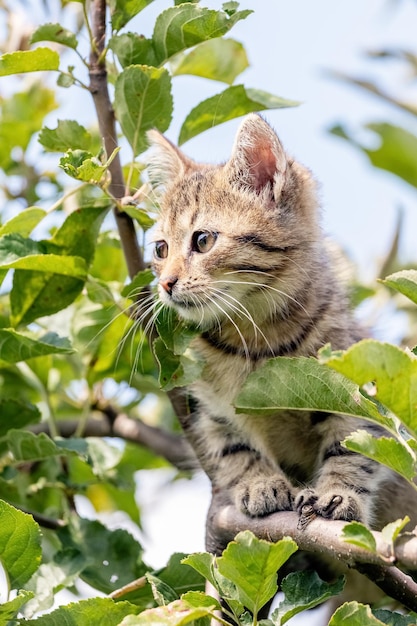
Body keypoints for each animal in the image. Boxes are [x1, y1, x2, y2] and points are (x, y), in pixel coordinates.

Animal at [148, 116, 414, 536]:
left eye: (202, 240)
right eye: (160, 249)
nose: (165, 284)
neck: (254, 334)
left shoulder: (356, 384)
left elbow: (352, 446)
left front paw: (337, 494)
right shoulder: (212, 410)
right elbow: (234, 448)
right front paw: (260, 483)